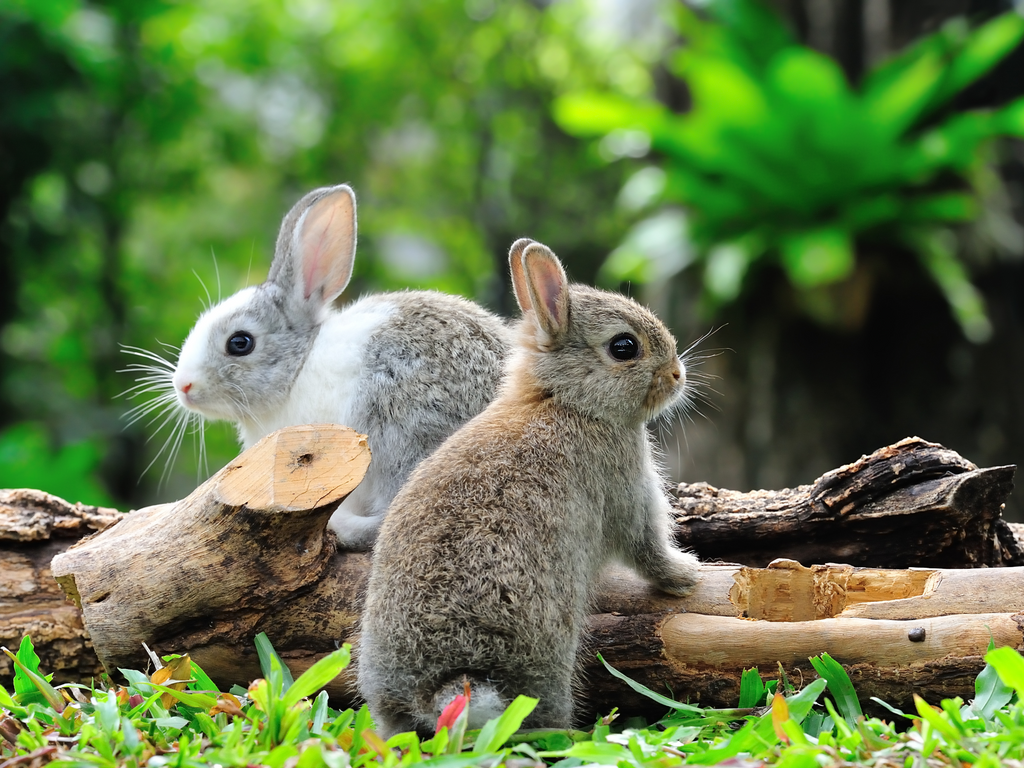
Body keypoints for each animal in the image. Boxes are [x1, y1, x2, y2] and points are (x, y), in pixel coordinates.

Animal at [356, 237, 700, 737]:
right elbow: (647, 548)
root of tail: (438, 686)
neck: (566, 401)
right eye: (624, 347)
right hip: (546, 655)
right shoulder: (626, 488)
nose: (677, 375)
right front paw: (687, 575)